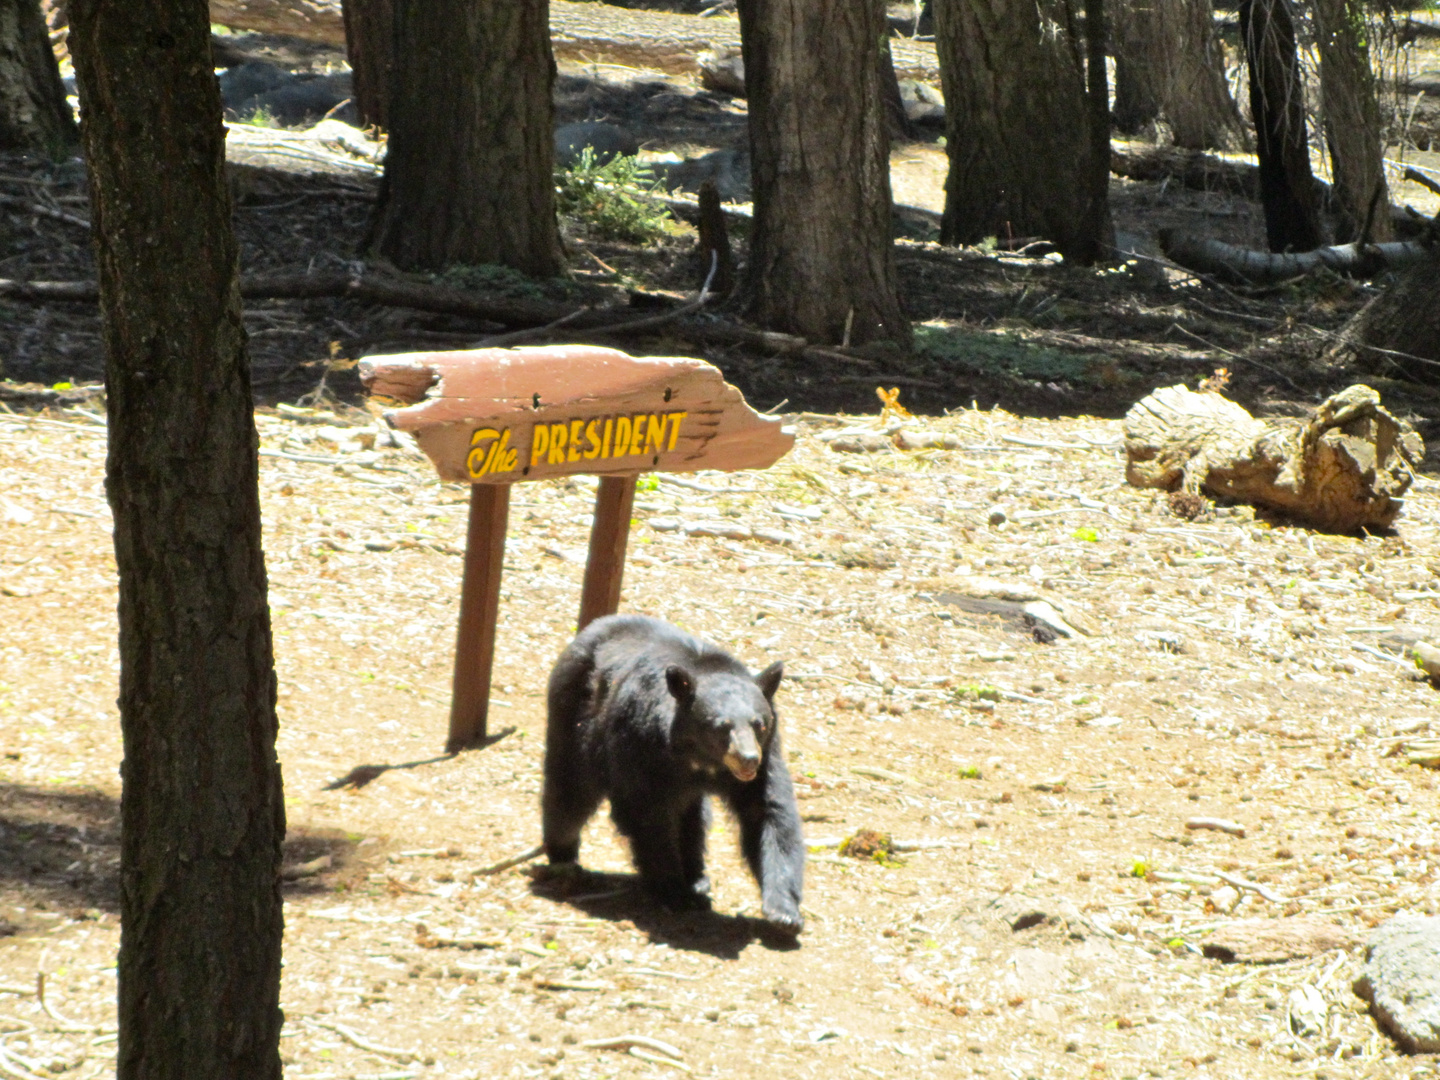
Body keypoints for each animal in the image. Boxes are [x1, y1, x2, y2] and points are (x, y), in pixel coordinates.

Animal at [541, 613, 806, 933]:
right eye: (721, 726)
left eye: (759, 724)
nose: (747, 760)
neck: (699, 759)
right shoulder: (640, 742)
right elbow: (646, 814)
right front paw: (672, 891)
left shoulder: (767, 757)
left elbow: (767, 811)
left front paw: (784, 912)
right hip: (574, 716)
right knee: (570, 789)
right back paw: (563, 855)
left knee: (693, 817)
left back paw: (698, 879)